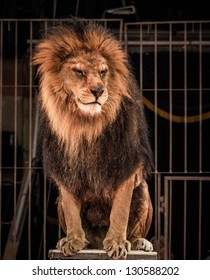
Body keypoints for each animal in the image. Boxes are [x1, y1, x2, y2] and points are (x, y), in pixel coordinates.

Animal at [33, 19, 154, 260]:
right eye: (79, 71)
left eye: (103, 71)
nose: (98, 90)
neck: (86, 125)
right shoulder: (64, 166)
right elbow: (72, 210)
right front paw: (73, 240)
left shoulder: (126, 164)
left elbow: (119, 211)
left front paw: (117, 243)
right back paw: (74, 241)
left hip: (144, 189)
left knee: (135, 229)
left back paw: (140, 243)